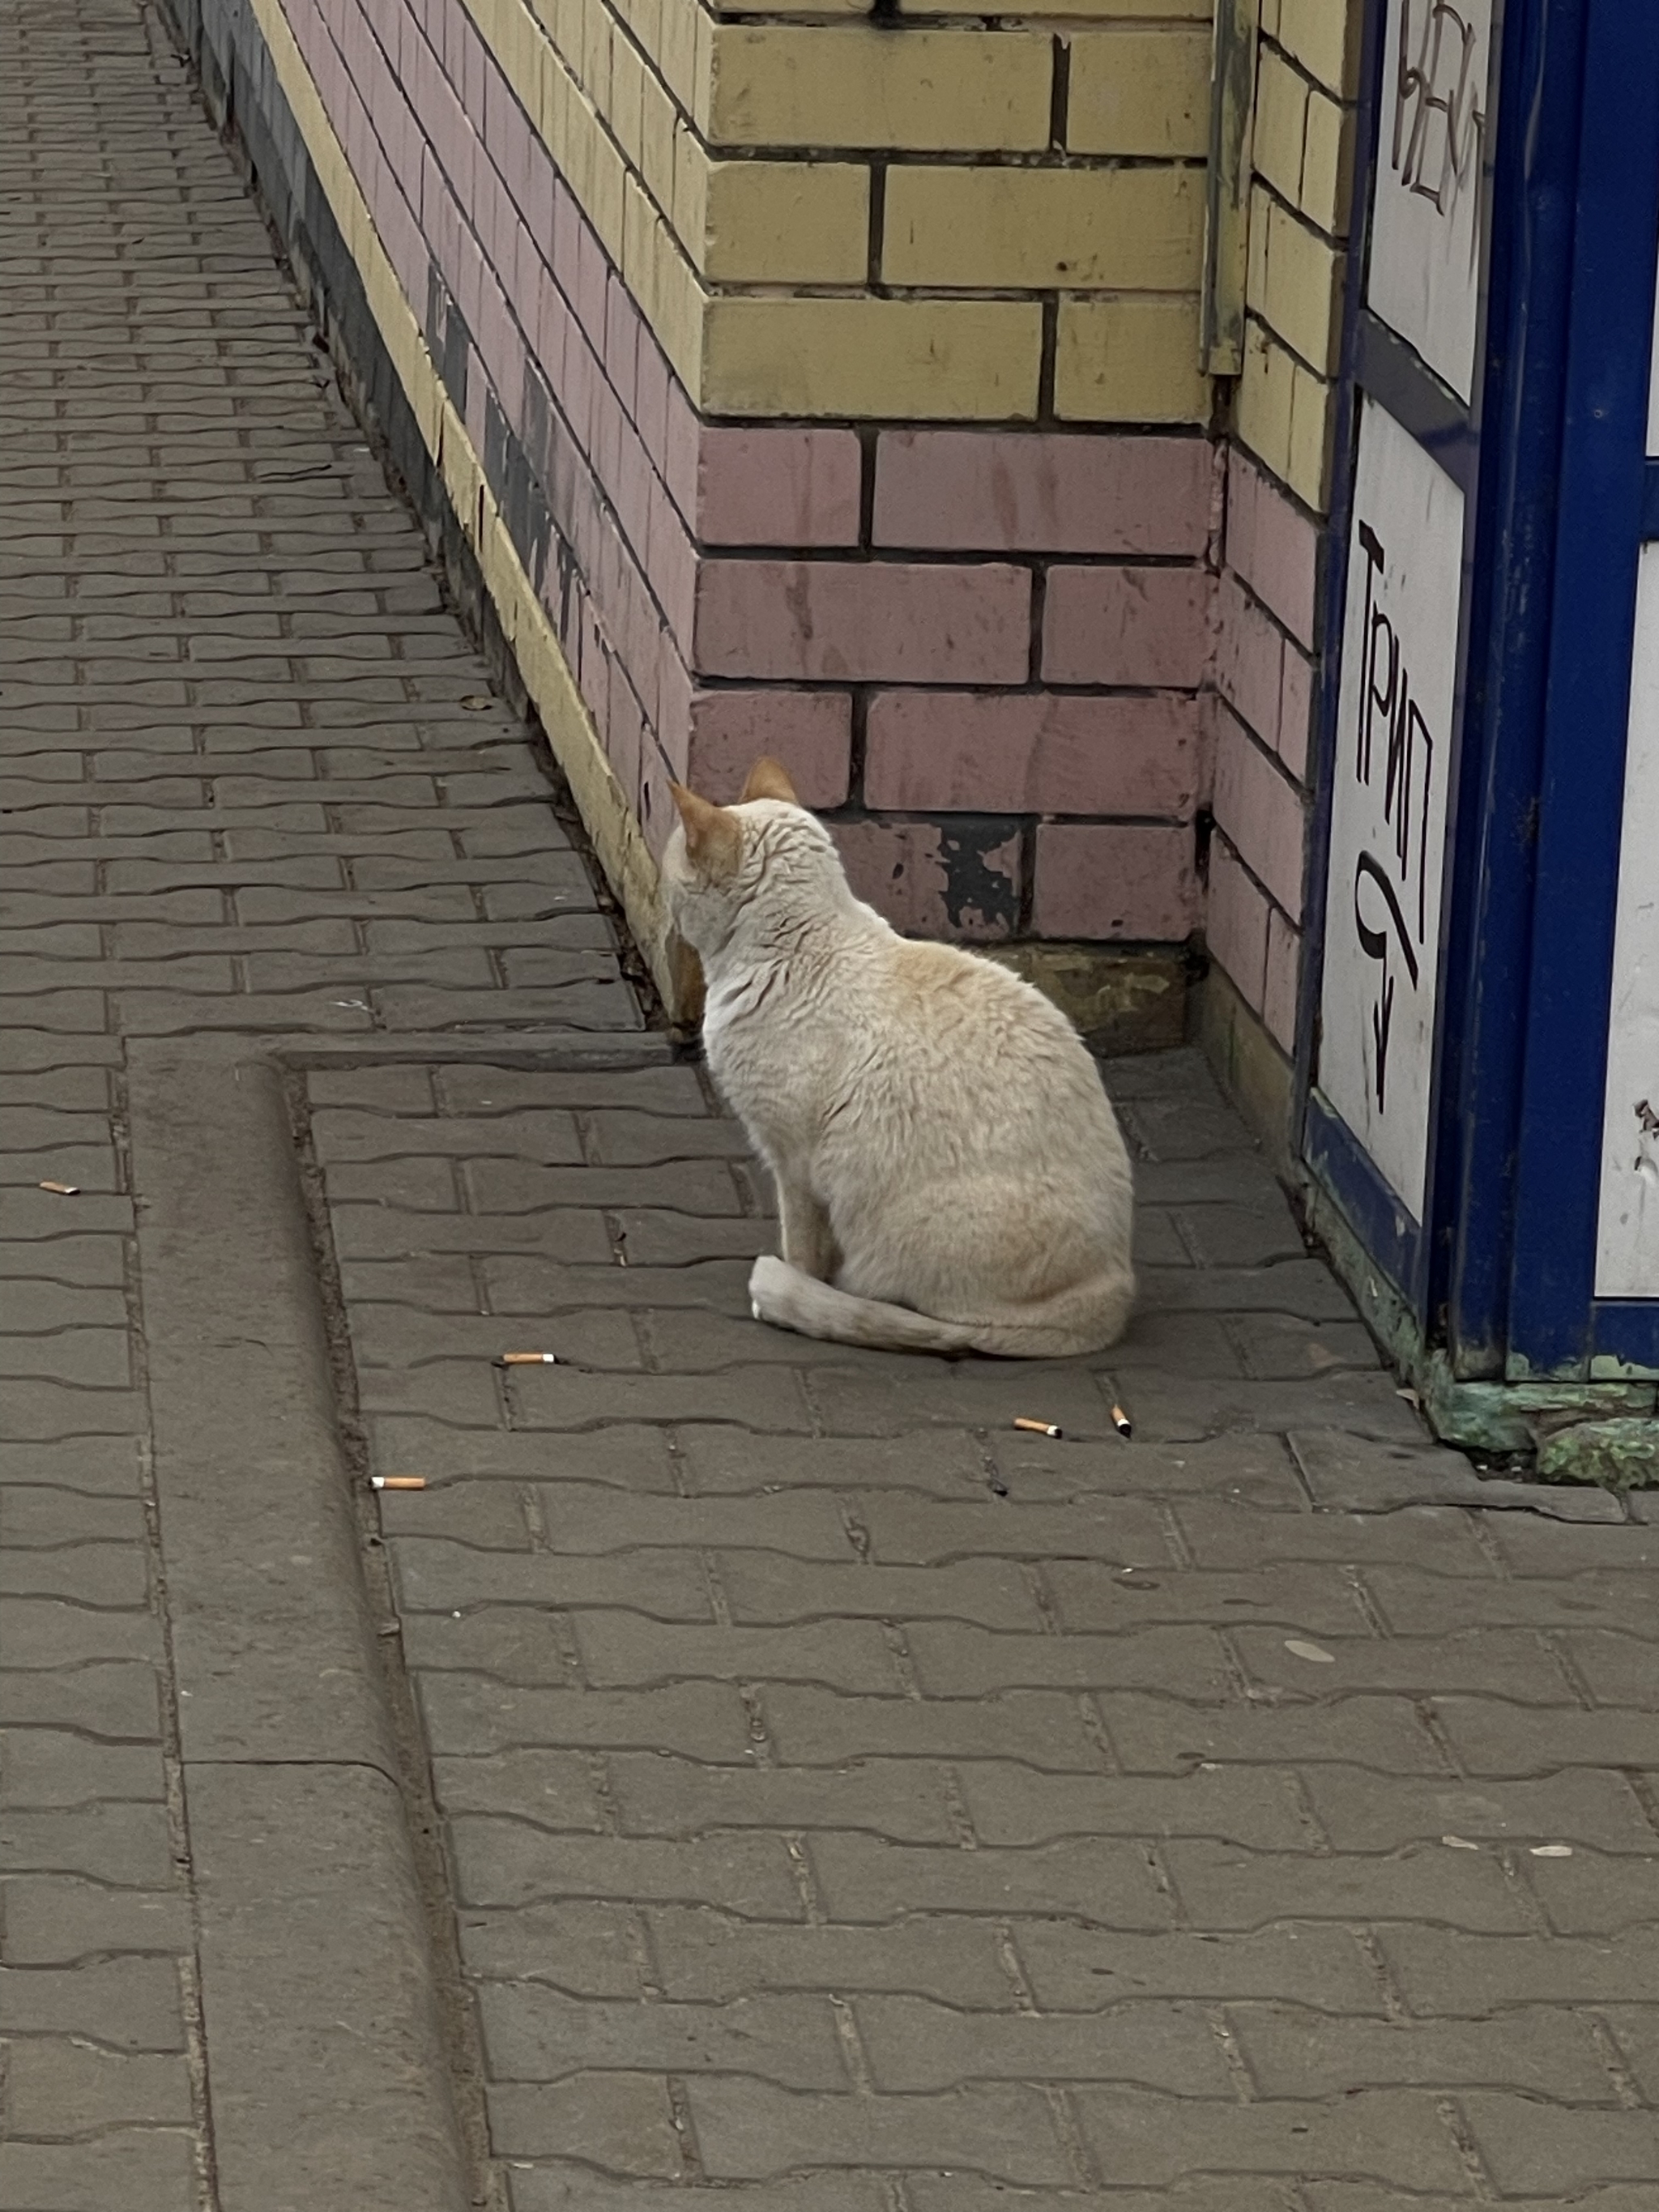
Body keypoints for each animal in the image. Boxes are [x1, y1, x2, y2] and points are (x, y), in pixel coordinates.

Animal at [667, 752, 1141, 1353]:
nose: (667, 909)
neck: (800, 942)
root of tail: (1115, 1292)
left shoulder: (791, 1162)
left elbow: (801, 1248)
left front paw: (797, 1285)